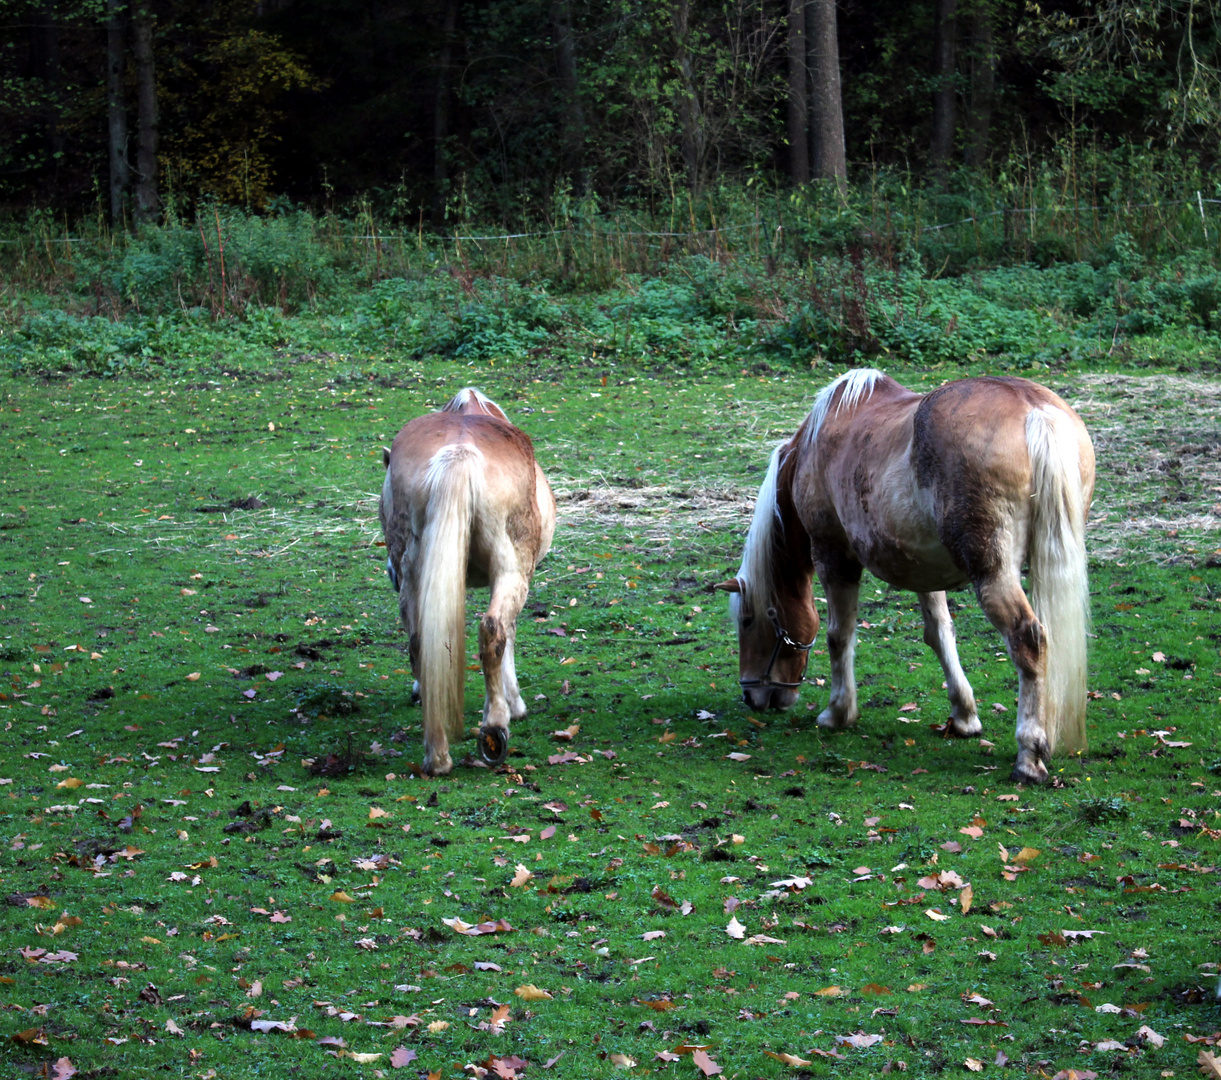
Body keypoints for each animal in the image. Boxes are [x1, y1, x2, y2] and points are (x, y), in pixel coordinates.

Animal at [378, 388, 556, 776]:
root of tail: (459, 454)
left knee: (420, 641)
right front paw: (514, 704)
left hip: (416, 573)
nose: (390, 574)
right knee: (493, 631)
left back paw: (437, 756)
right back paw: (494, 728)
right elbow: (510, 635)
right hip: (512, 571)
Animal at [713, 370, 1098, 785]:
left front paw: (838, 712)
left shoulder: (834, 557)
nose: (752, 696)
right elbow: (940, 634)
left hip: (993, 574)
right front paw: (964, 715)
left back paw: (1029, 754)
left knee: (1028, 639)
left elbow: (839, 636)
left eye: (747, 621)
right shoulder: (925, 572)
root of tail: (1033, 408)